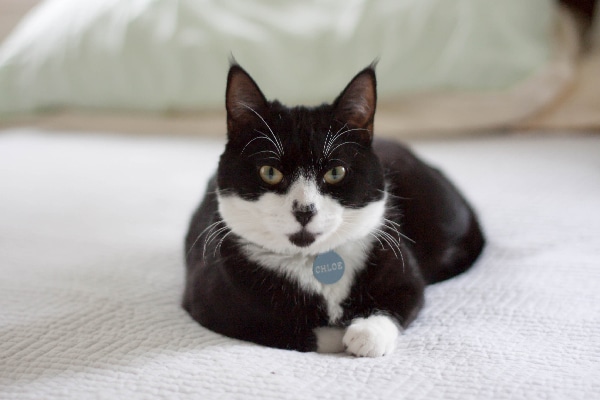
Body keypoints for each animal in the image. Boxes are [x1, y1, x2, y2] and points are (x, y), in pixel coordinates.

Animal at [182, 64, 482, 358]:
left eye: (336, 172)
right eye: (269, 172)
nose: (304, 210)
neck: (312, 262)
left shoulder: (397, 261)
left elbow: (407, 295)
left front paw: (366, 334)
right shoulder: (212, 302)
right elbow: (291, 330)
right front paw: (341, 335)